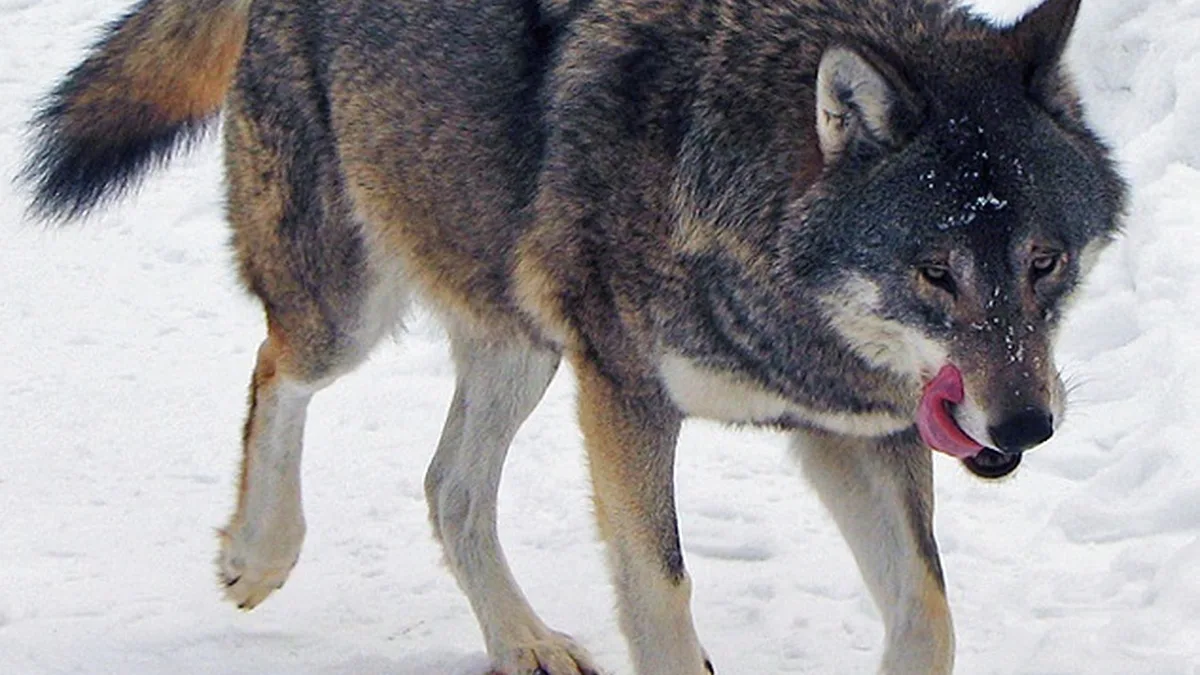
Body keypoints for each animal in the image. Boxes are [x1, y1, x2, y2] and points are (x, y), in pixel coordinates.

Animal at [22, 0, 1124, 672]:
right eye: (936, 272)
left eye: (1044, 261)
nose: (1025, 426)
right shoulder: (626, 396)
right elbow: (662, 595)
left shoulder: (858, 430)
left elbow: (928, 613)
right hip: (355, 311)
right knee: (274, 368)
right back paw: (259, 555)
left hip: (524, 340)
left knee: (448, 486)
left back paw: (522, 642)